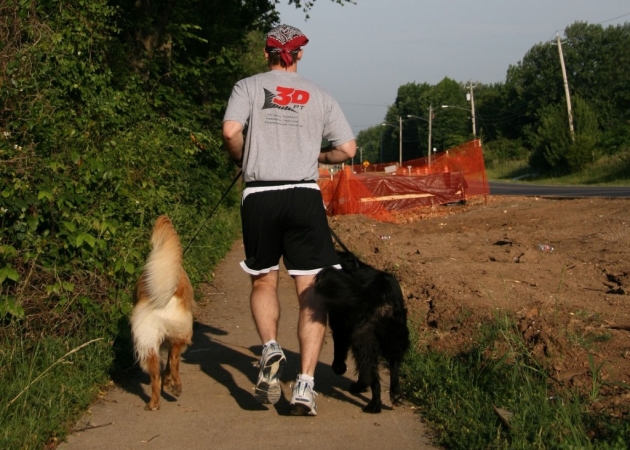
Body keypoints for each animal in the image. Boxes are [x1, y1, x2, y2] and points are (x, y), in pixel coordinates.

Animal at [131, 215, 195, 412]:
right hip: (179, 334)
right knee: (173, 359)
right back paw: (174, 387)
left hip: (149, 341)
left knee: (156, 376)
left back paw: (154, 402)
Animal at [314, 251, 410, 414]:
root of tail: (382, 294)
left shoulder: (340, 327)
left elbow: (340, 351)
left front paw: (339, 368)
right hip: (394, 336)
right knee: (393, 364)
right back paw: (395, 394)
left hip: (364, 341)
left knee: (371, 376)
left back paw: (373, 404)